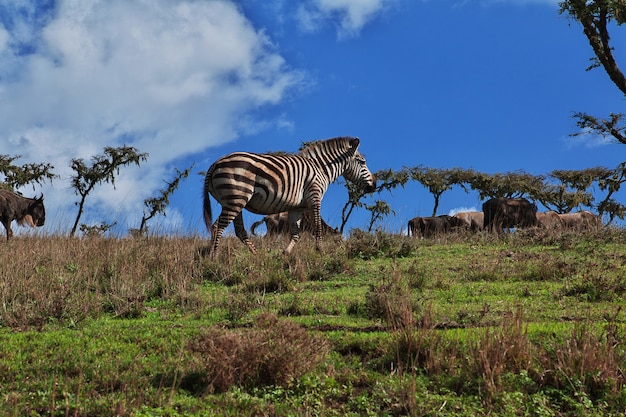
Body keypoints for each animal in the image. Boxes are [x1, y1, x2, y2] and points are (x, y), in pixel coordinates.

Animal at [202, 136, 372, 254]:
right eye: (363, 162)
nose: (373, 185)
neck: (321, 168)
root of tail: (215, 164)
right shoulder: (314, 196)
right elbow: (317, 226)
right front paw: (321, 251)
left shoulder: (297, 207)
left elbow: (296, 233)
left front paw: (286, 253)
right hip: (236, 197)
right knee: (219, 226)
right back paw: (214, 256)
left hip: (233, 201)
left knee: (239, 230)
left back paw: (256, 256)